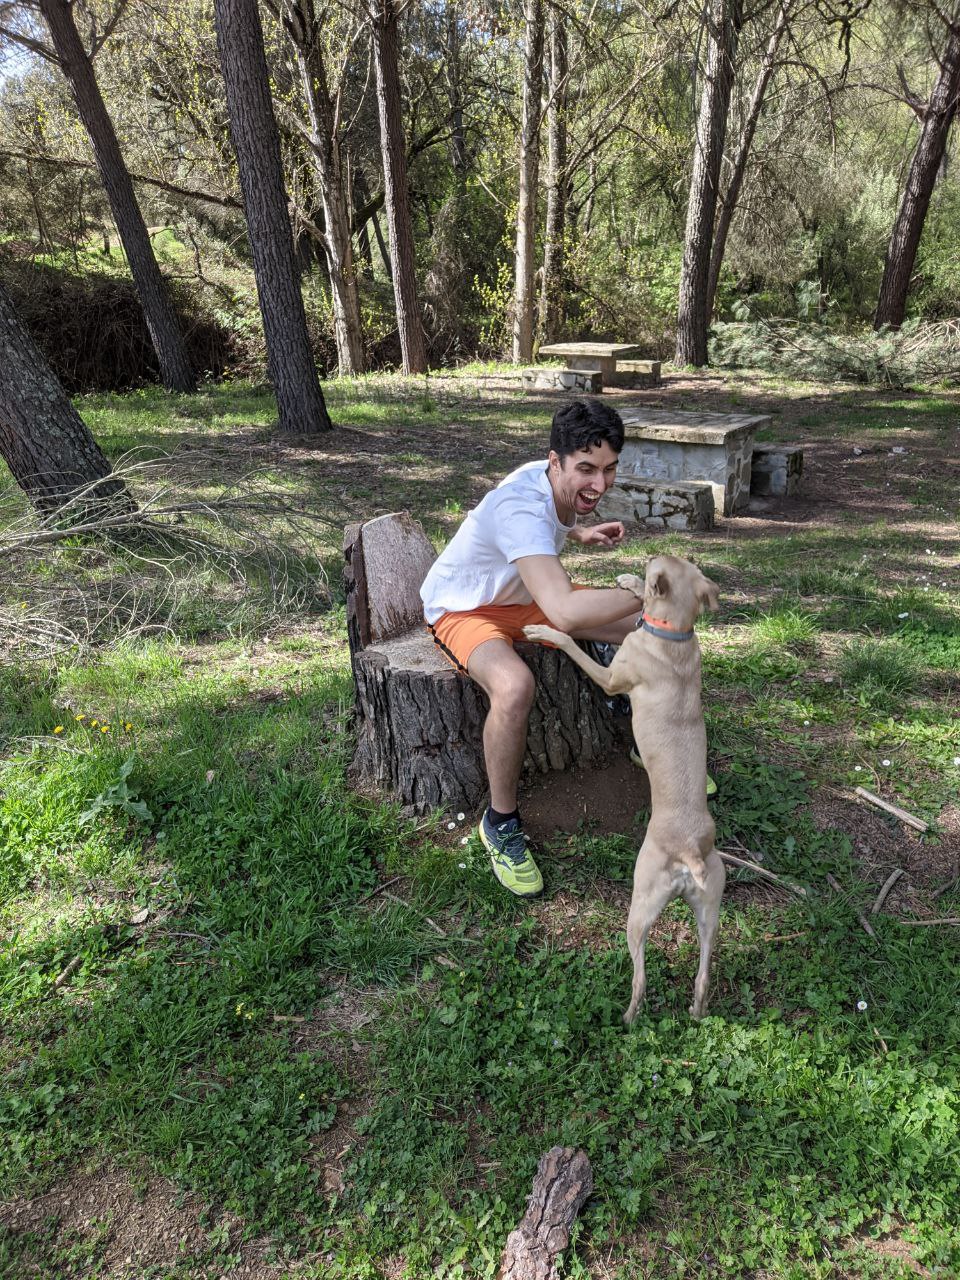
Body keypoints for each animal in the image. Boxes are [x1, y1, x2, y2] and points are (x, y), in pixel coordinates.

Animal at [524, 555, 725, 1021]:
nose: (643, 554)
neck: (674, 633)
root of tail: (689, 851)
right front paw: (626, 582)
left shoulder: (611, 677)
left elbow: (571, 643)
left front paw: (546, 633)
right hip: (711, 912)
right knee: (703, 974)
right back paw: (696, 1010)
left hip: (640, 906)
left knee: (641, 977)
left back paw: (629, 1017)